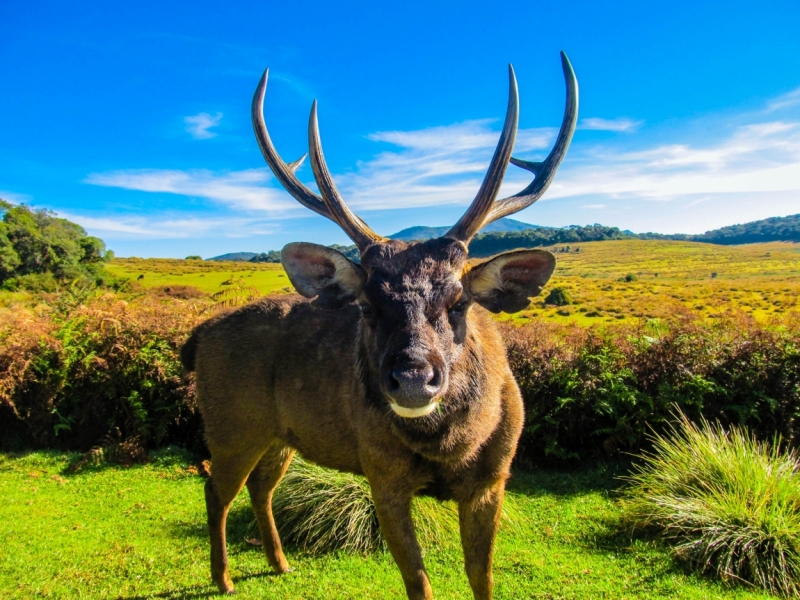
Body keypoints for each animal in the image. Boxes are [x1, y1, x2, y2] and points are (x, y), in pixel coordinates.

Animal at [184, 52, 580, 600]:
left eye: (459, 301)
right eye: (367, 305)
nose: (412, 379)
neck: (449, 450)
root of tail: (198, 336)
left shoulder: (493, 478)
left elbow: (482, 578)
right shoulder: (381, 473)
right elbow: (418, 582)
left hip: (280, 433)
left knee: (260, 487)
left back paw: (279, 563)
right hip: (230, 423)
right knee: (215, 488)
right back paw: (222, 577)